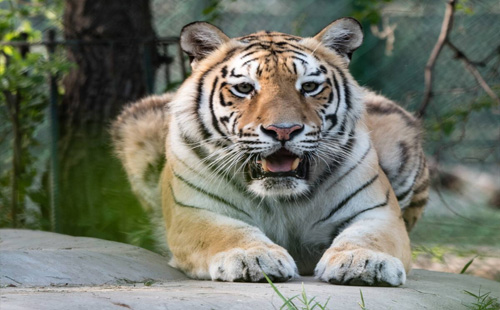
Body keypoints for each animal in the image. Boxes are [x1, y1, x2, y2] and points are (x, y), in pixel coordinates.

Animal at [110, 18, 430, 286]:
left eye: (309, 86)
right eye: (243, 87)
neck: (283, 200)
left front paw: (363, 261)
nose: (283, 130)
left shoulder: (377, 211)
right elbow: (228, 232)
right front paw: (252, 257)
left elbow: (369, 236)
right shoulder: (195, 211)